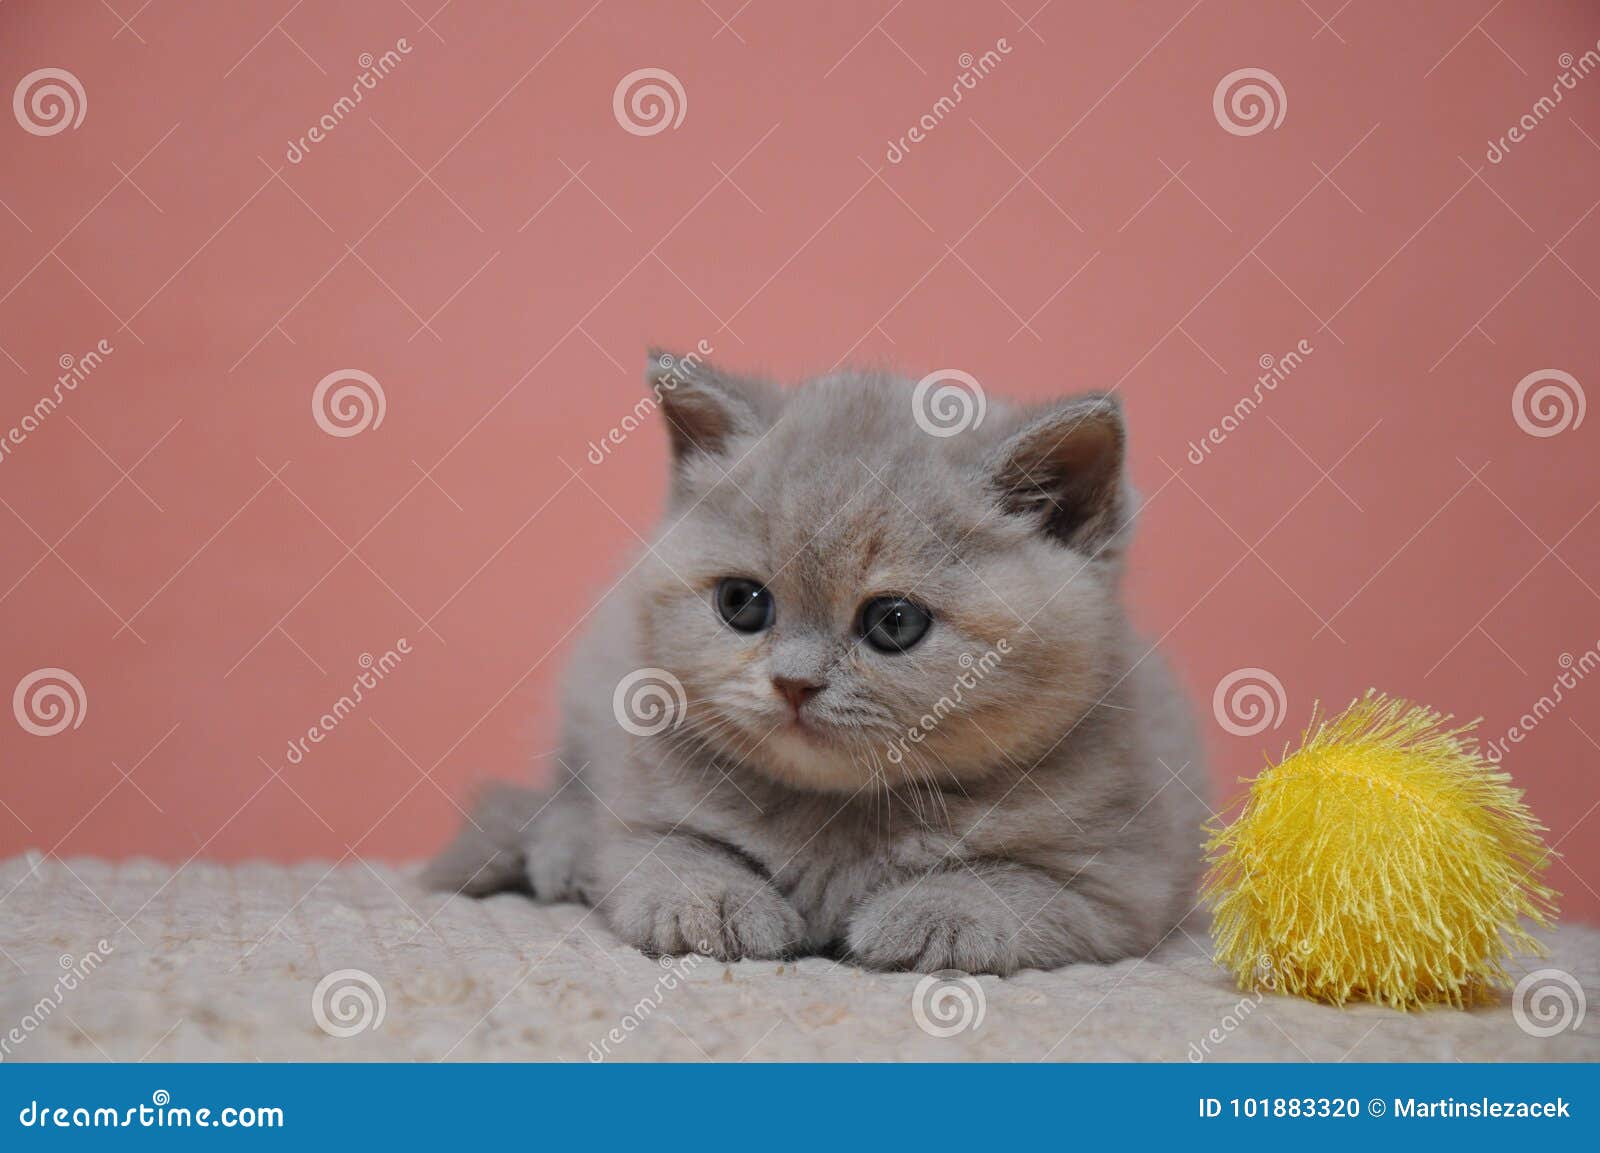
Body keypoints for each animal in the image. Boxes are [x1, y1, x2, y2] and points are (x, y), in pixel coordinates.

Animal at [422, 350, 1203, 972]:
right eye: (742, 603)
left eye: (894, 622)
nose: (794, 682)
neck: (839, 812)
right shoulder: (642, 810)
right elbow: (669, 856)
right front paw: (717, 904)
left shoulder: (1126, 879)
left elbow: (1014, 884)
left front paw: (933, 913)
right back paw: (562, 855)